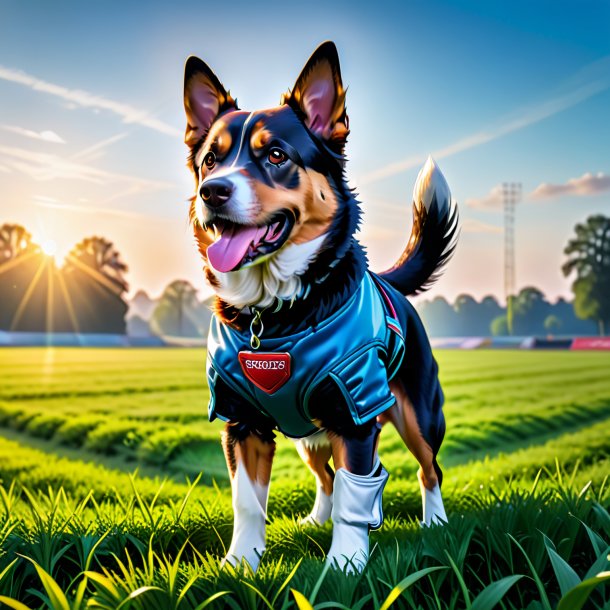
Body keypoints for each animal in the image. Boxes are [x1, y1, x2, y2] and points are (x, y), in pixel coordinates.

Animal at [180, 41, 456, 568]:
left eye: (275, 154)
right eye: (210, 160)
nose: (213, 192)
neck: (274, 315)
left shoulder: (354, 411)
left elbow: (356, 490)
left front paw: (346, 565)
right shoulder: (241, 420)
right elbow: (247, 501)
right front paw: (239, 564)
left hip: (418, 412)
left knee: (427, 469)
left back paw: (435, 523)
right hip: (310, 434)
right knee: (328, 476)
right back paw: (316, 519)